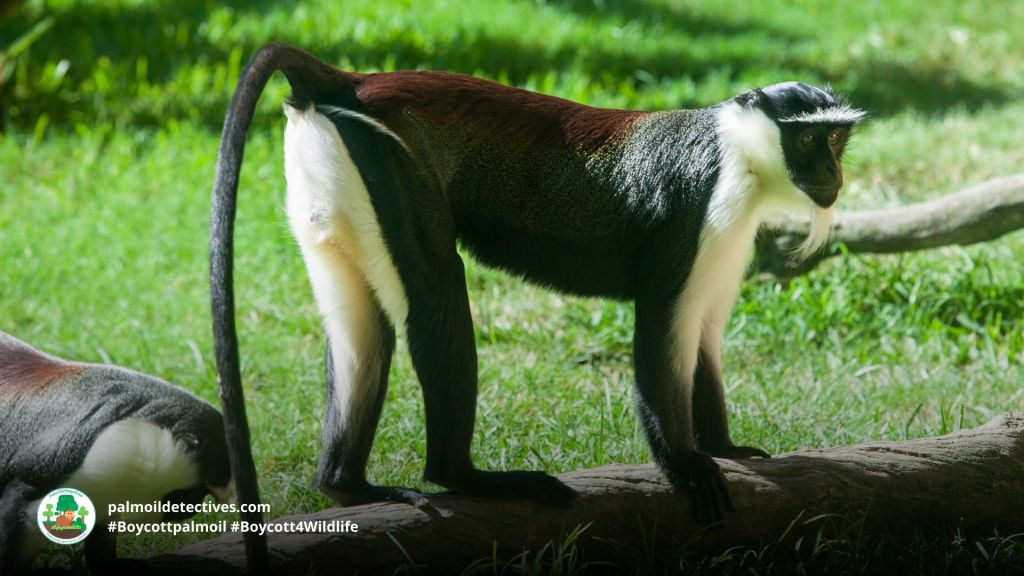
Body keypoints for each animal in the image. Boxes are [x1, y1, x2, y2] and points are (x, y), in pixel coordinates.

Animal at [211, 42, 864, 545]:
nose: (833, 175)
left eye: (837, 140)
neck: (739, 152)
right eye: (811, 142)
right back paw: (463, 475)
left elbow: (703, 334)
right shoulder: (701, 207)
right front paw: (684, 464)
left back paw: (346, 485)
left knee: (361, 331)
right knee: (436, 286)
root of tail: (349, 80)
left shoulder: (728, 242)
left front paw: (723, 445)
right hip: (389, 160)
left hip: (338, 180)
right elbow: (664, 324)